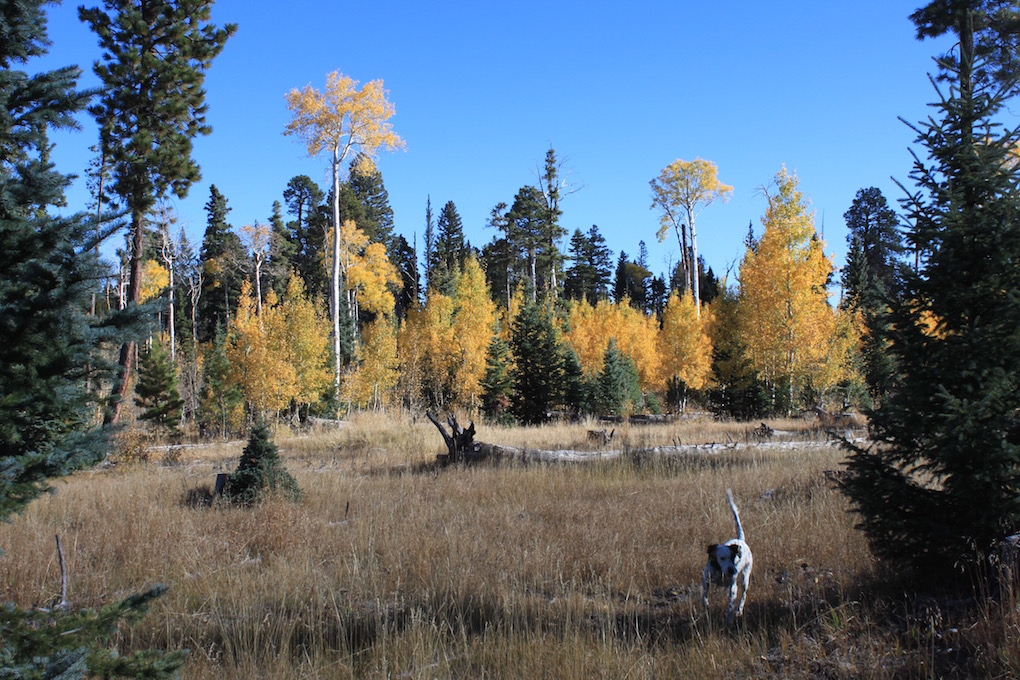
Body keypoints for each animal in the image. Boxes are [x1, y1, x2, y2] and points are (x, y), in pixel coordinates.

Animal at [701, 487, 750, 623]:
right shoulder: (705, 580)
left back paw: (739, 611)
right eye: (722, 558)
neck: (720, 571)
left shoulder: (733, 588)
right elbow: (704, 598)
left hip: (745, 578)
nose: (732, 570)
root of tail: (741, 540)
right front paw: (706, 608)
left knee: (743, 595)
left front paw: (729, 620)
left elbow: (730, 606)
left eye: (734, 557)